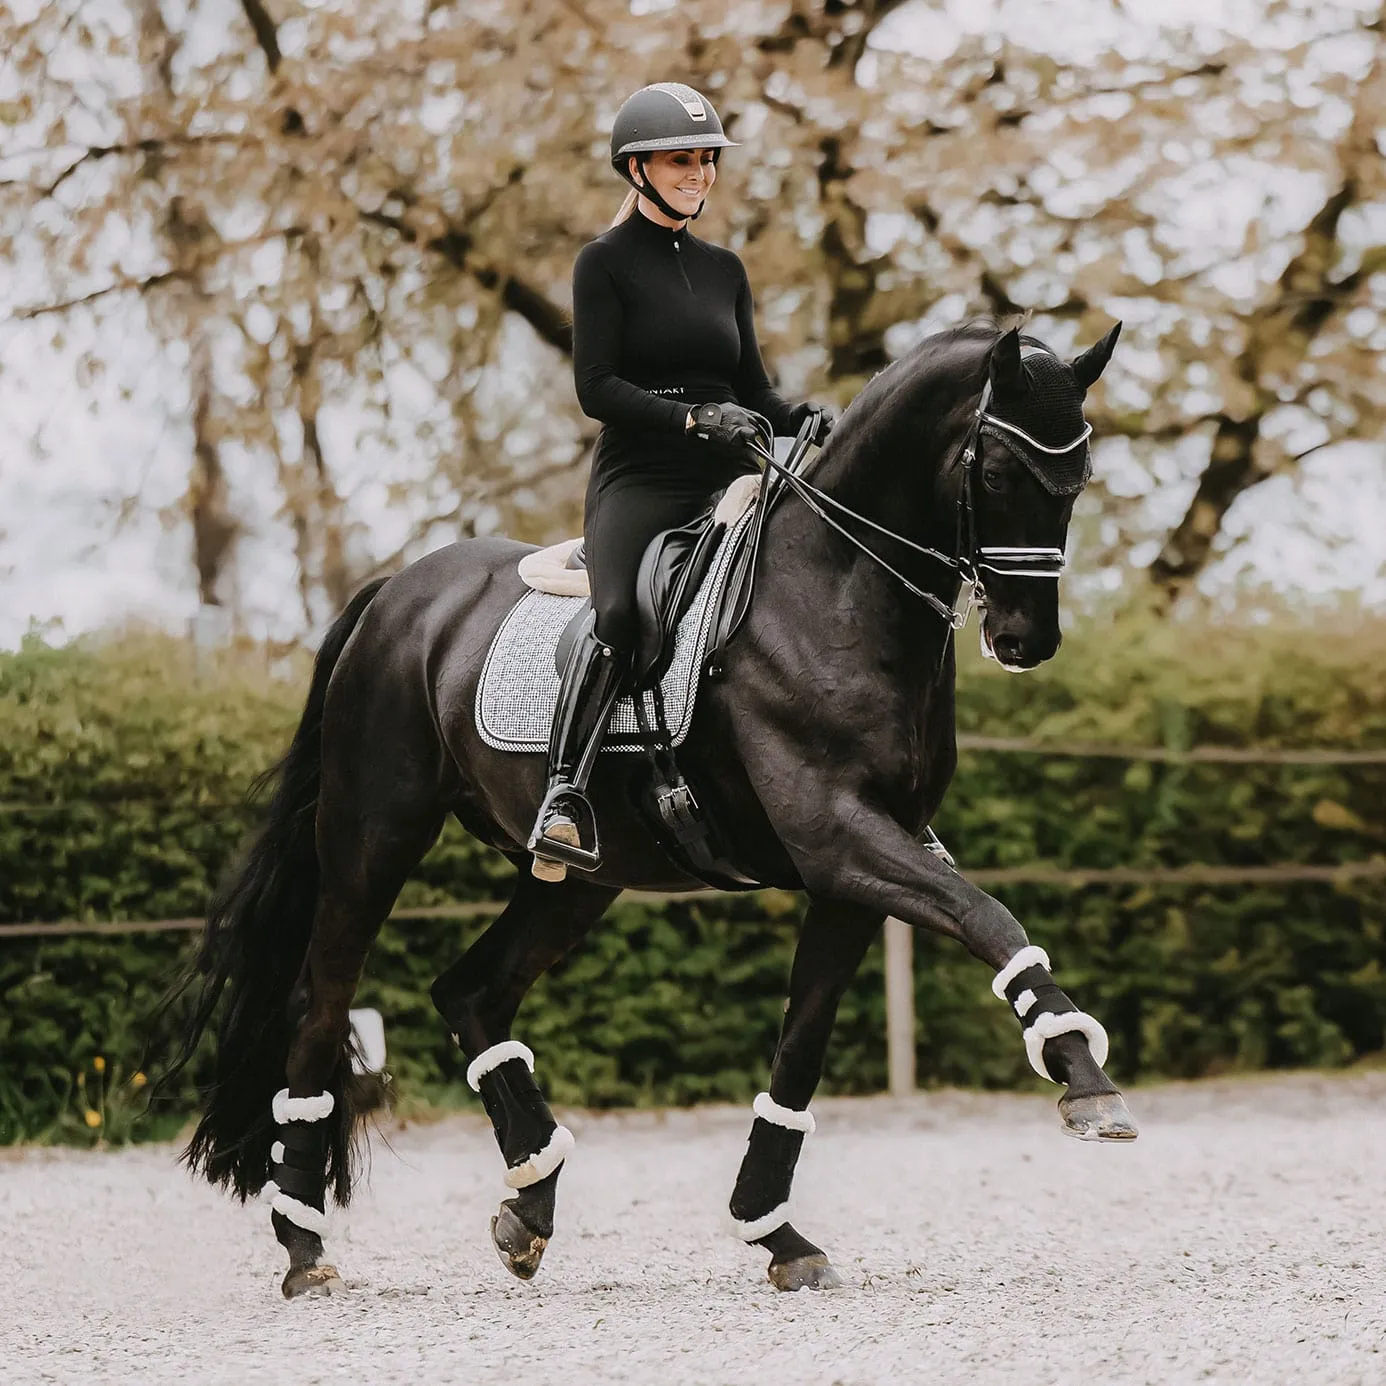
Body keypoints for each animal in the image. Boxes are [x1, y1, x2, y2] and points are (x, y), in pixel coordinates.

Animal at [164, 318, 1136, 1291]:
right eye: (1000, 472)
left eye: (1079, 478)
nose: (1026, 639)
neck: (834, 594)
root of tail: (392, 596)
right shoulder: (838, 836)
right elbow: (990, 917)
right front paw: (1085, 1079)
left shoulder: (857, 867)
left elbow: (804, 1046)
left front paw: (775, 1232)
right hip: (374, 840)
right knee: (321, 1008)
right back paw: (304, 1244)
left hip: (575, 877)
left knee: (470, 992)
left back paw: (529, 1205)